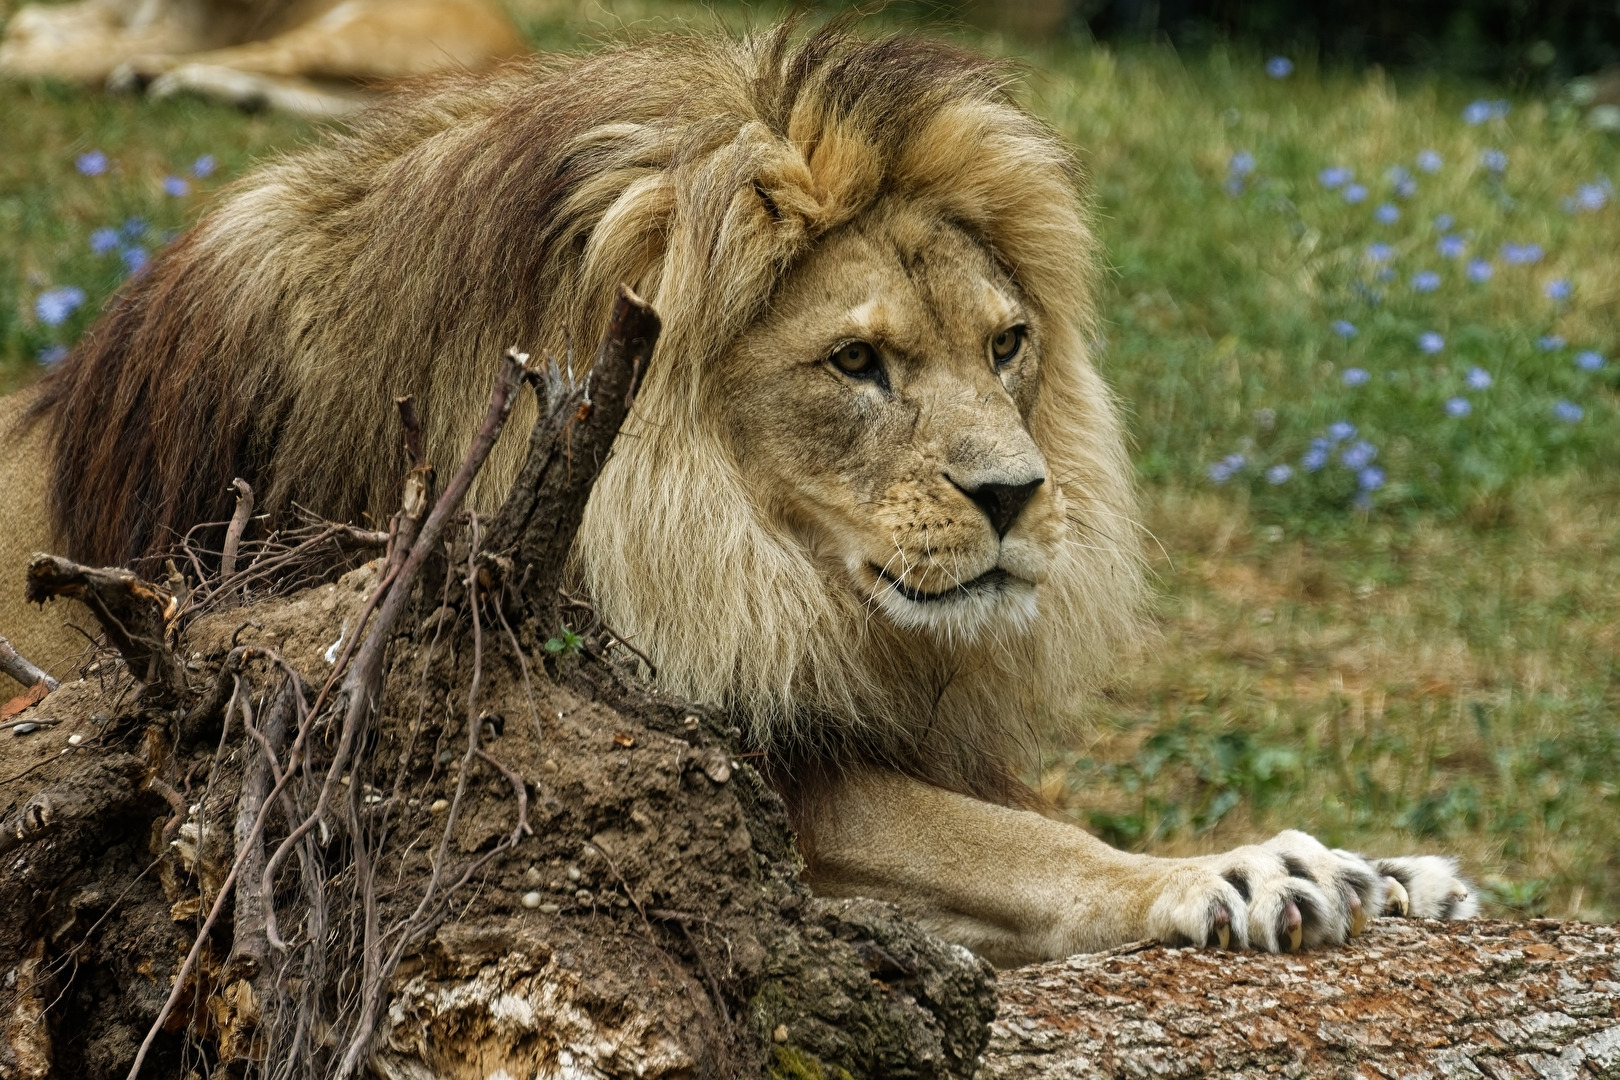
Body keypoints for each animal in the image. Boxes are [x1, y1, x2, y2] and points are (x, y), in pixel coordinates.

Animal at [0, 21, 1476, 968]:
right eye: (858, 363)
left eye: (1007, 345)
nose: (1018, 495)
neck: (742, 559)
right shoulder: (674, 786)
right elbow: (1005, 841)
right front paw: (1239, 871)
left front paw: (1388, 872)